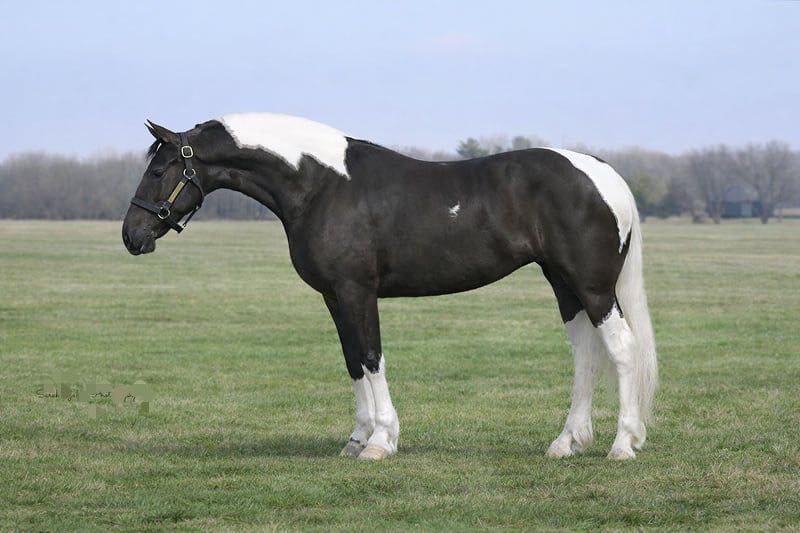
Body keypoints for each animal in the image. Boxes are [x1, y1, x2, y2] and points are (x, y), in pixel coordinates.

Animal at [122, 113, 658, 461]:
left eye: (159, 168)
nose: (132, 236)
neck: (321, 186)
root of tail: (602, 171)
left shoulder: (356, 291)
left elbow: (371, 357)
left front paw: (380, 442)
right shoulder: (334, 297)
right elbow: (352, 360)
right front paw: (357, 438)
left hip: (592, 287)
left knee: (622, 350)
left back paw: (623, 445)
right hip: (564, 284)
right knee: (586, 355)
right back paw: (566, 443)